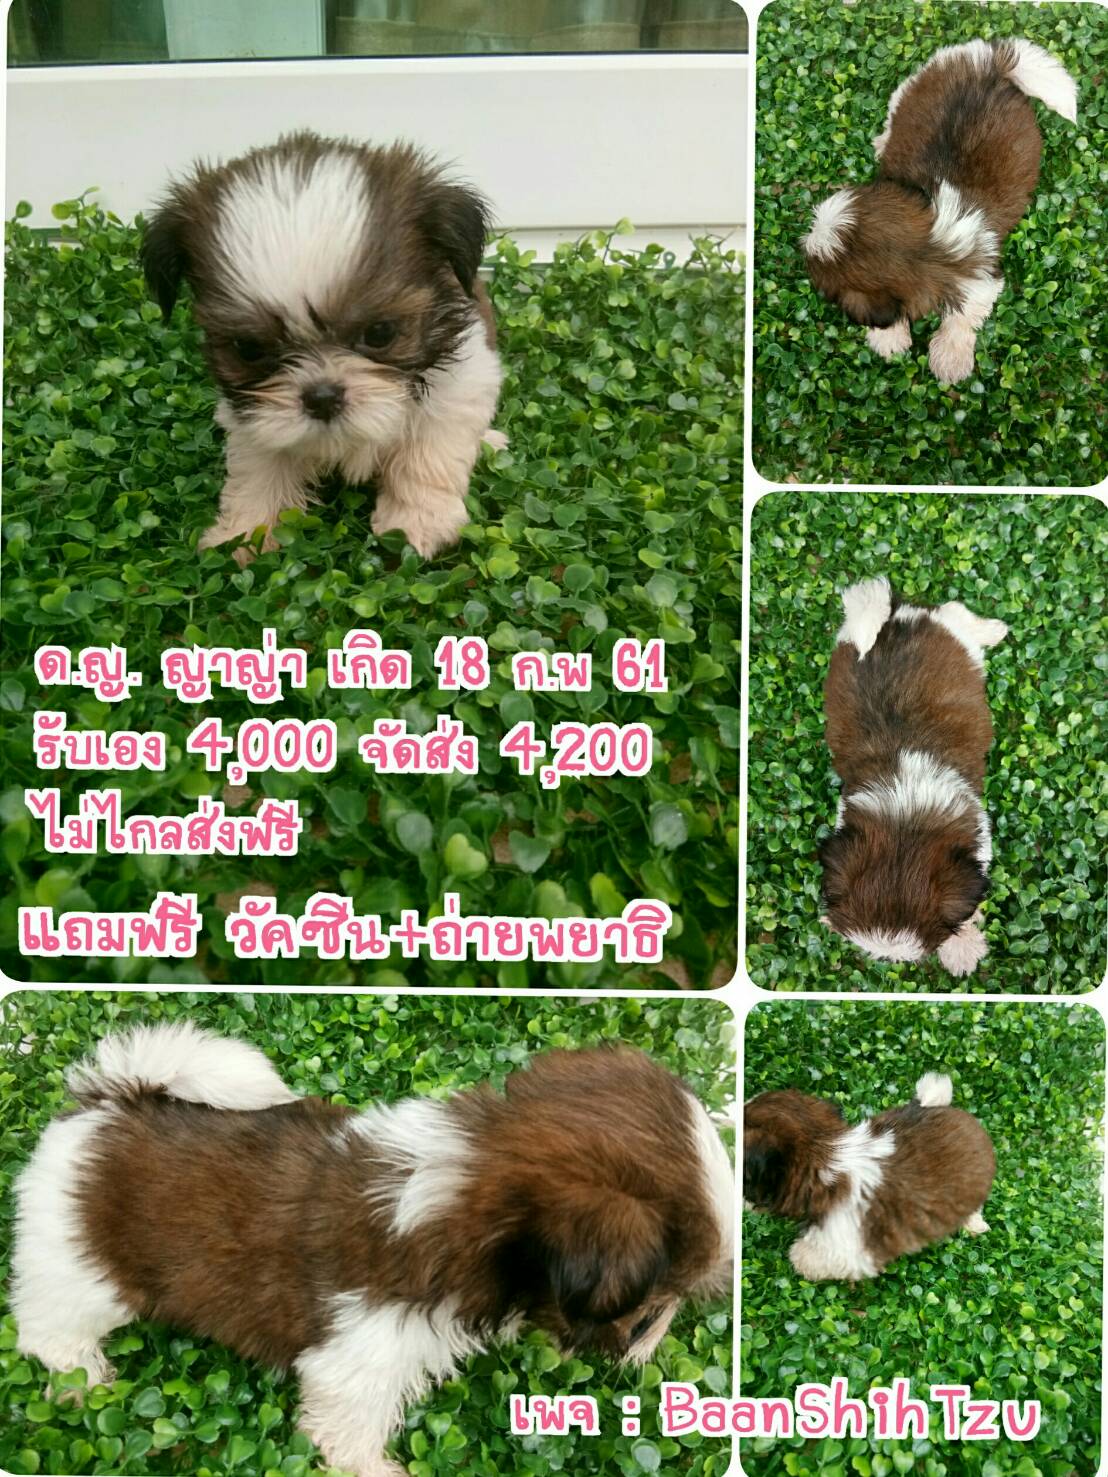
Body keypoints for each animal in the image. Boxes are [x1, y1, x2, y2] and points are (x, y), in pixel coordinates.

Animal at [12, 1024, 733, 1477]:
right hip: (78, 1265)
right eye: (647, 1312)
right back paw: (84, 1380)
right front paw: (373, 1467)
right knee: (52, 1326)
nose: (651, 1341)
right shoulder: (365, 1351)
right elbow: (351, 1421)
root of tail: (111, 1098)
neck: (469, 1185)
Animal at [141, 131, 505, 561]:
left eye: (380, 333)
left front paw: (416, 520)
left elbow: (426, 455)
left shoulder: (460, 383)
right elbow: (258, 466)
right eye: (249, 350)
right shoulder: (254, 415)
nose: (323, 396)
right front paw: (247, 530)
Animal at [801, 38, 1077, 382]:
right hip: (916, 83)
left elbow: (963, 316)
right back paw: (882, 141)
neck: (927, 246)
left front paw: (950, 357)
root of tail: (989, 62)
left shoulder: (981, 278)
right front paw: (890, 339)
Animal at [819, 575, 1007, 976]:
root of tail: (895, 617)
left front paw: (962, 947)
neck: (905, 830)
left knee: (957, 612)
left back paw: (993, 630)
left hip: (950, 627)